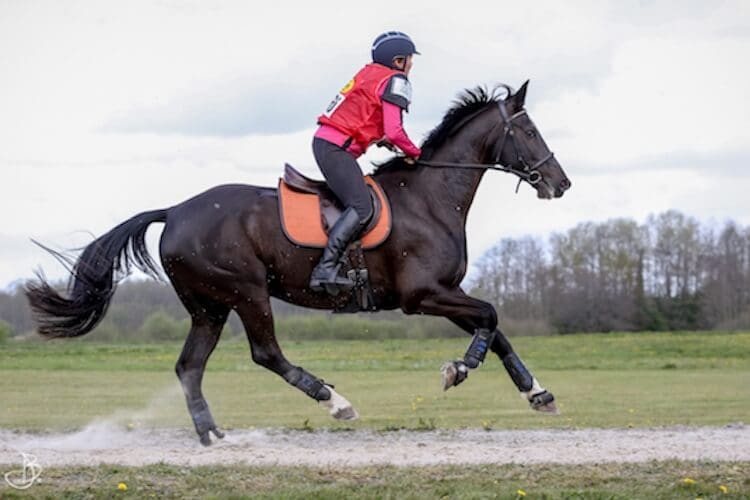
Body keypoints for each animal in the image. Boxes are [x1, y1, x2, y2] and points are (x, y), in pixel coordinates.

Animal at [26, 82, 572, 446]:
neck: (430, 197)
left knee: (189, 366)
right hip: (246, 291)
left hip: (208, 306)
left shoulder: (443, 293)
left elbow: (495, 329)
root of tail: (175, 210)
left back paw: (213, 435)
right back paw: (335, 402)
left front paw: (538, 394)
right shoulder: (424, 296)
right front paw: (457, 369)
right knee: (266, 353)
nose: (561, 183)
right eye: (528, 129)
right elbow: (491, 318)